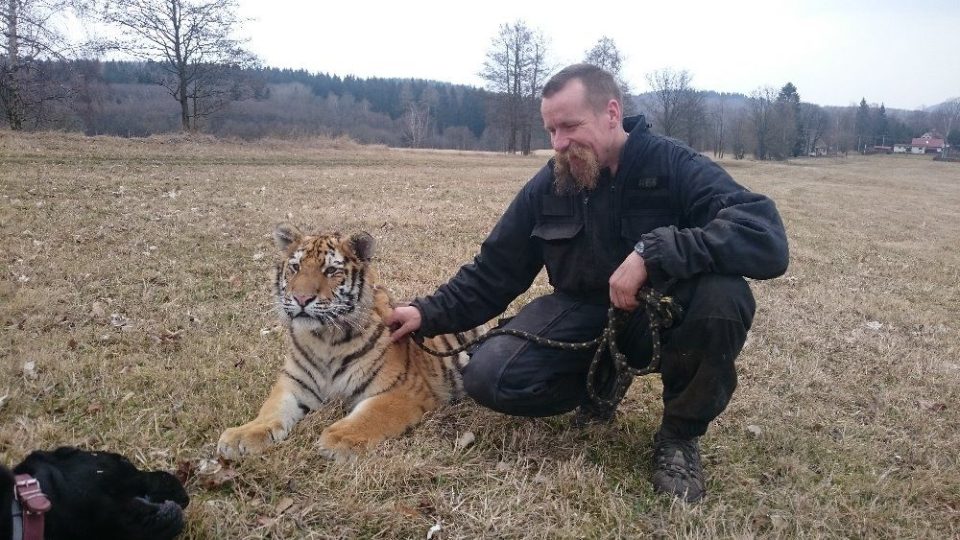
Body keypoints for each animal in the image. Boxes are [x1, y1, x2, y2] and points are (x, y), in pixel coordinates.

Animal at [216, 224, 480, 460]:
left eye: (331, 270)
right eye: (295, 267)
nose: (301, 298)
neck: (324, 339)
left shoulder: (404, 390)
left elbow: (372, 415)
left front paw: (340, 438)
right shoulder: (293, 383)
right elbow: (271, 409)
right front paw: (241, 435)